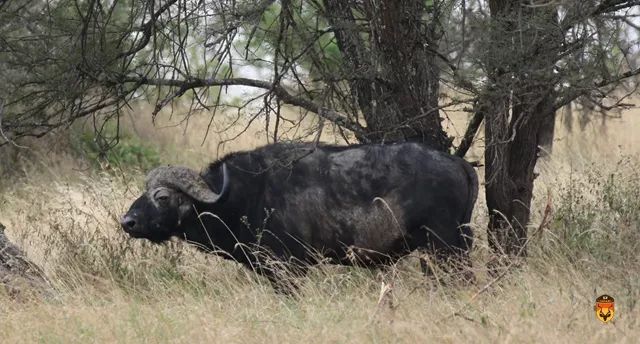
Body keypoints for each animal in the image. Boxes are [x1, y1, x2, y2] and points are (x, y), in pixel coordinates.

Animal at [122, 142, 478, 288]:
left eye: (162, 197)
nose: (128, 222)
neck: (246, 195)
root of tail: (456, 163)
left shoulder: (289, 268)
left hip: (445, 245)